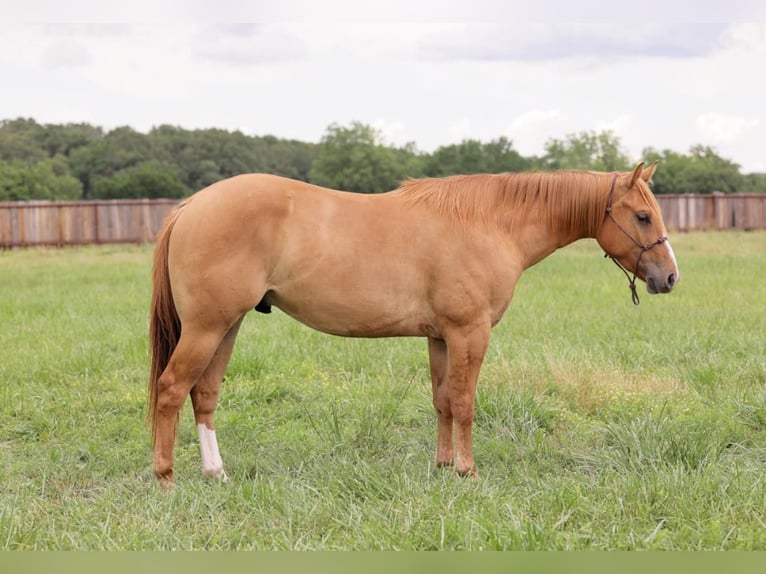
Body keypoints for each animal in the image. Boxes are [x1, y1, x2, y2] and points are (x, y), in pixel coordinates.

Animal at [147, 161, 679, 483]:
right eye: (643, 216)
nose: (670, 277)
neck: (489, 222)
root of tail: (191, 207)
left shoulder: (441, 337)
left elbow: (442, 401)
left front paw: (443, 466)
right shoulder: (469, 332)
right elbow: (464, 402)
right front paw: (467, 471)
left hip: (226, 326)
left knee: (204, 393)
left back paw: (216, 473)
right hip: (207, 328)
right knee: (172, 390)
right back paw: (166, 477)